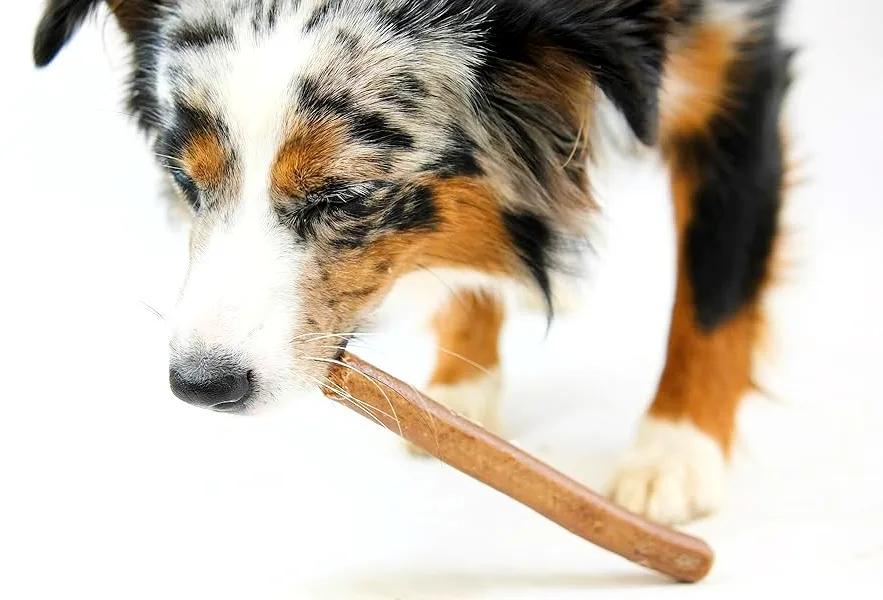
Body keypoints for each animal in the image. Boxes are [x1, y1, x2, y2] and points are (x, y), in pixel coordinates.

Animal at [32, 0, 796, 524]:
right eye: (185, 180)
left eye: (342, 195)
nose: (201, 385)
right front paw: (461, 387)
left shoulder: (740, 68)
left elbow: (716, 289)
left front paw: (675, 454)